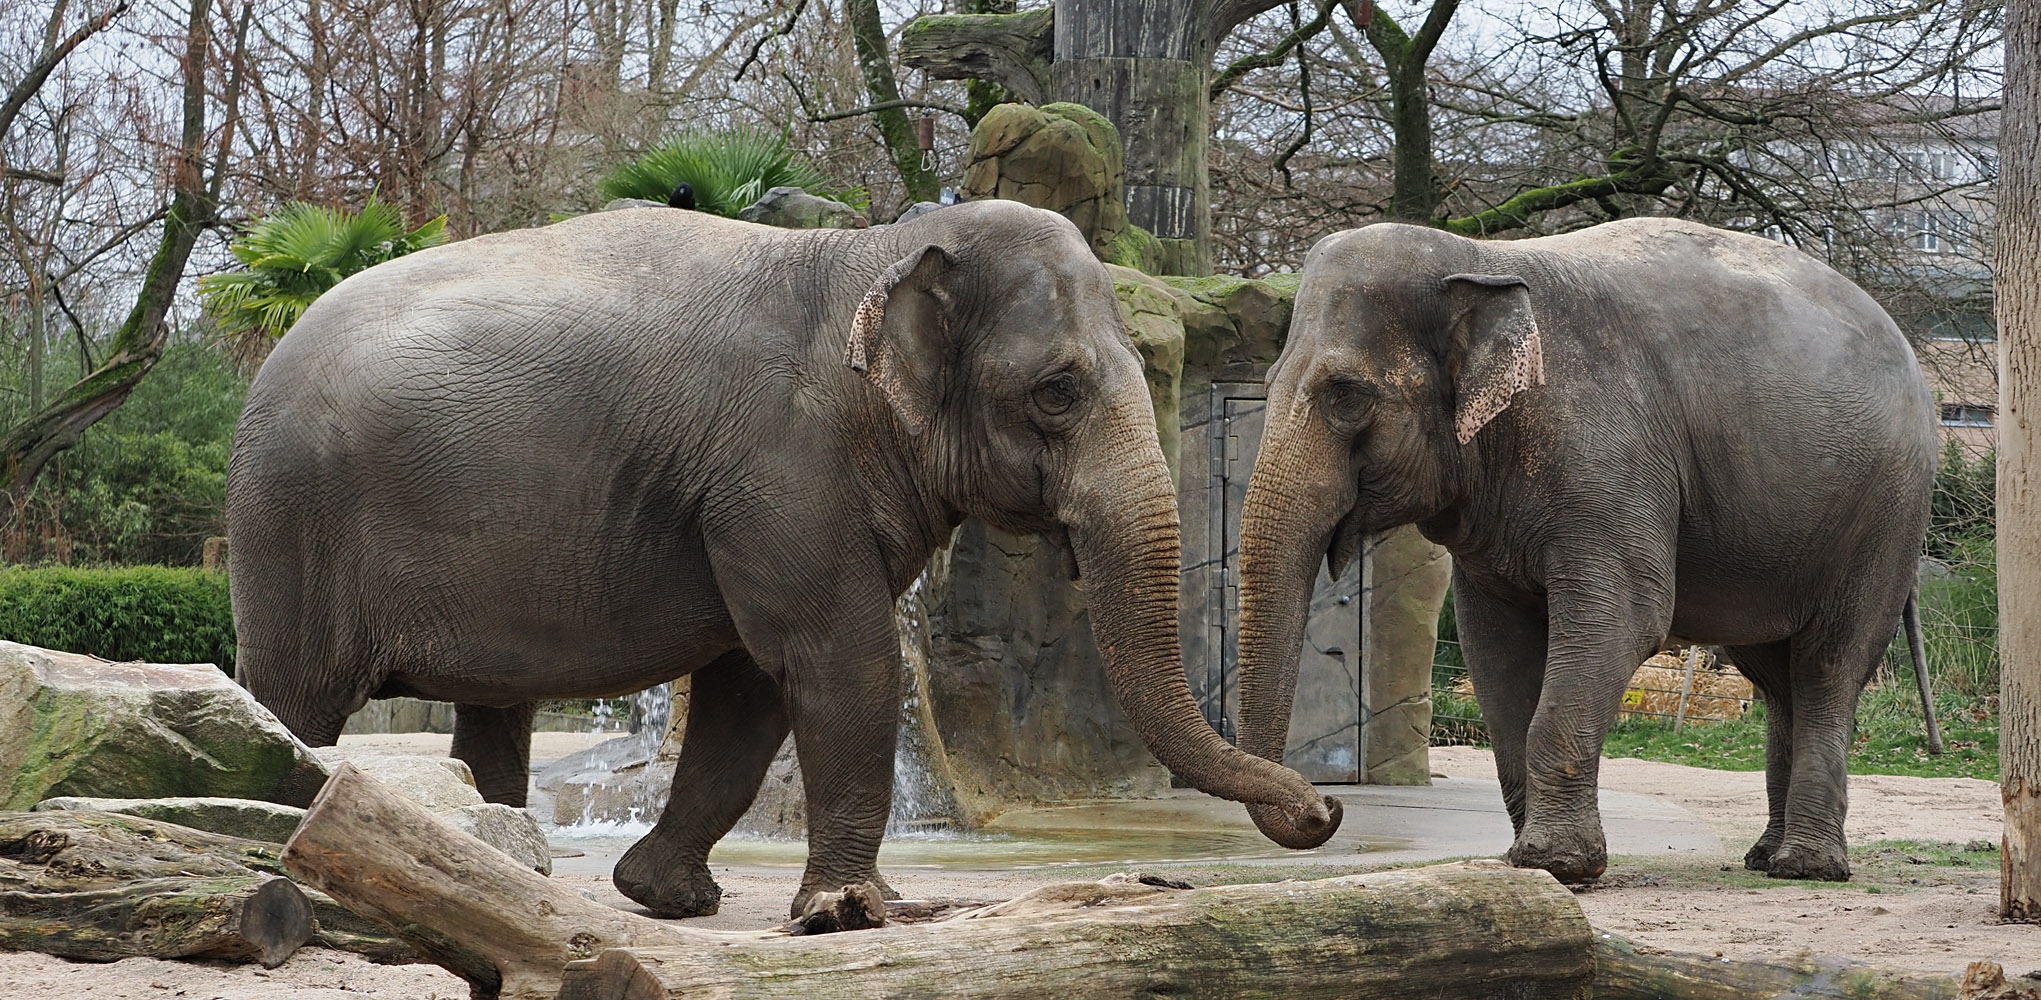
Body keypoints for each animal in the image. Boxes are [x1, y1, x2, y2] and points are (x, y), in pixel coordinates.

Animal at [227, 198, 1338, 918]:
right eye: (1057, 390)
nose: (1321, 809)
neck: (873, 247)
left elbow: (753, 686)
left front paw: (666, 896)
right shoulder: (782, 463)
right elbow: (839, 661)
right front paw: (857, 909)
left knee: (491, 716)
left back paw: (501, 868)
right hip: (291, 524)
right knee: (292, 700)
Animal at [1232, 216, 1934, 881]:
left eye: (1346, 395)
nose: (1326, 807)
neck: (1481, 257)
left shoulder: (1610, 462)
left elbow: (1626, 618)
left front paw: (1560, 864)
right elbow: (1494, 645)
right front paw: (1527, 861)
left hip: (1886, 517)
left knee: (1828, 664)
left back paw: (1806, 865)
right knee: (1774, 672)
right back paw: (1764, 857)